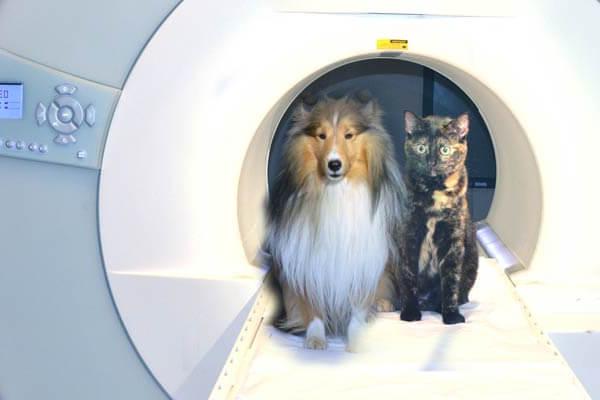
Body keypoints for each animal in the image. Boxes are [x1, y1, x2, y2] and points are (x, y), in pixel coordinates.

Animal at [264, 93, 406, 350]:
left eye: (349, 135)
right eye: (321, 135)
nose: (334, 164)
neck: (336, 191)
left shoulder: (361, 260)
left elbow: (358, 307)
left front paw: (356, 340)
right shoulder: (306, 262)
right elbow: (312, 307)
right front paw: (315, 339)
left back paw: (382, 304)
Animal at [398, 111, 478, 324]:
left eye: (445, 149)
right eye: (421, 147)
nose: (432, 162)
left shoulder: (452, 238)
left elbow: (450, 280)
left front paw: (451, 315)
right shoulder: (410, 234)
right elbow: (409, 276)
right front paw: (410, 312)